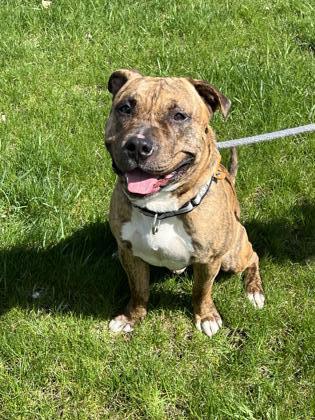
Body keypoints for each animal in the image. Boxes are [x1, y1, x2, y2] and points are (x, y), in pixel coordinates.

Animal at [105, 69, 266, 338]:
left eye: (179, 116)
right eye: (125, 108)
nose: (137, 144)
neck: (160, 212)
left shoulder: (209, 261)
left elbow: (201, 291)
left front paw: (207, 317)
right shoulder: (131, 255)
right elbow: (139, 290)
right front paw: (130, 318)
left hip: (233, 255)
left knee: (253, 257)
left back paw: (254, 291)